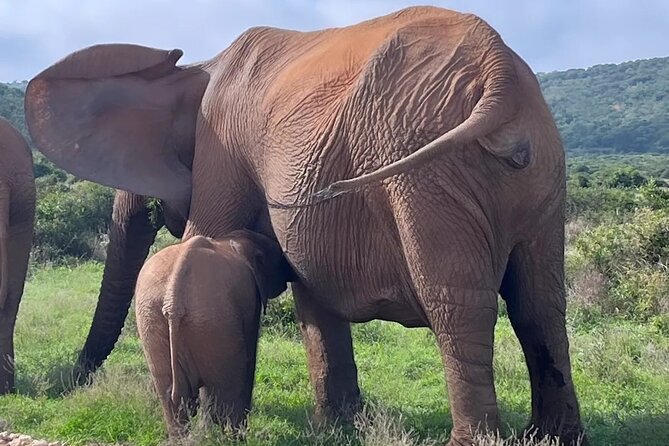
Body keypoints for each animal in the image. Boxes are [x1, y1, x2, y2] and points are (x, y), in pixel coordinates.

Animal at [135, 231, 291, 436]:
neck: (234, 240)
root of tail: (173, 300)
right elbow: (249, 358)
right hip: (215, 320)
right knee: (228, 391)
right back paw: (236, 437)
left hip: (153, 320)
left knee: (170, 398)